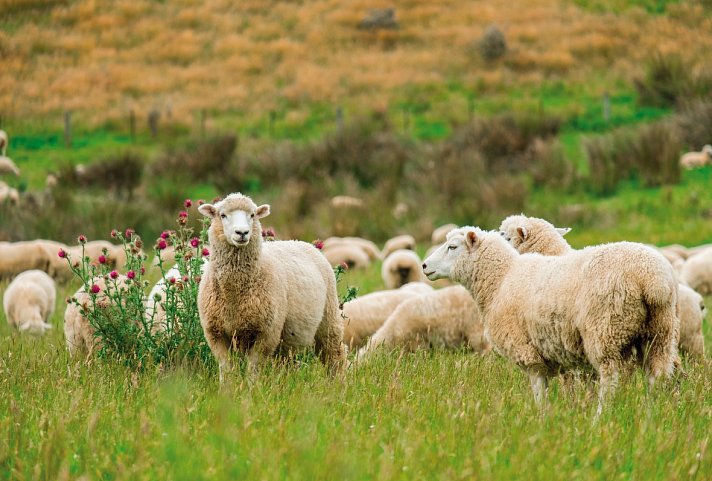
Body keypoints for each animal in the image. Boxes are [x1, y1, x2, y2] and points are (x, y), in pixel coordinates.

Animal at [197, 191, 348, 378]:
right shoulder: (216, 333)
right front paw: (228, 386)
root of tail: (299, 241)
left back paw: (338, 381)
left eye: (252, 215)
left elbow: (253, 369)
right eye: (222, 215)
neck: (234, 295)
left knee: (334, 354)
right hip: (288, 338)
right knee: (287, 362)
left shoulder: (266, 333)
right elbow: (227, 369)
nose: (242, 232)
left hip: (328, 318)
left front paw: (250, 386)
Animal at [422, 225, 680, 412]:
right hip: (661, 332)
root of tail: (651, 278)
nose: (424, 266)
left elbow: (539, 391)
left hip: (605, 329)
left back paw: (599, 420)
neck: (501, 279)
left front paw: (542, 421)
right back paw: (650, 418)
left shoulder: (527, 351)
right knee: (656, 377)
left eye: (452, 247)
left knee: (610, 379)